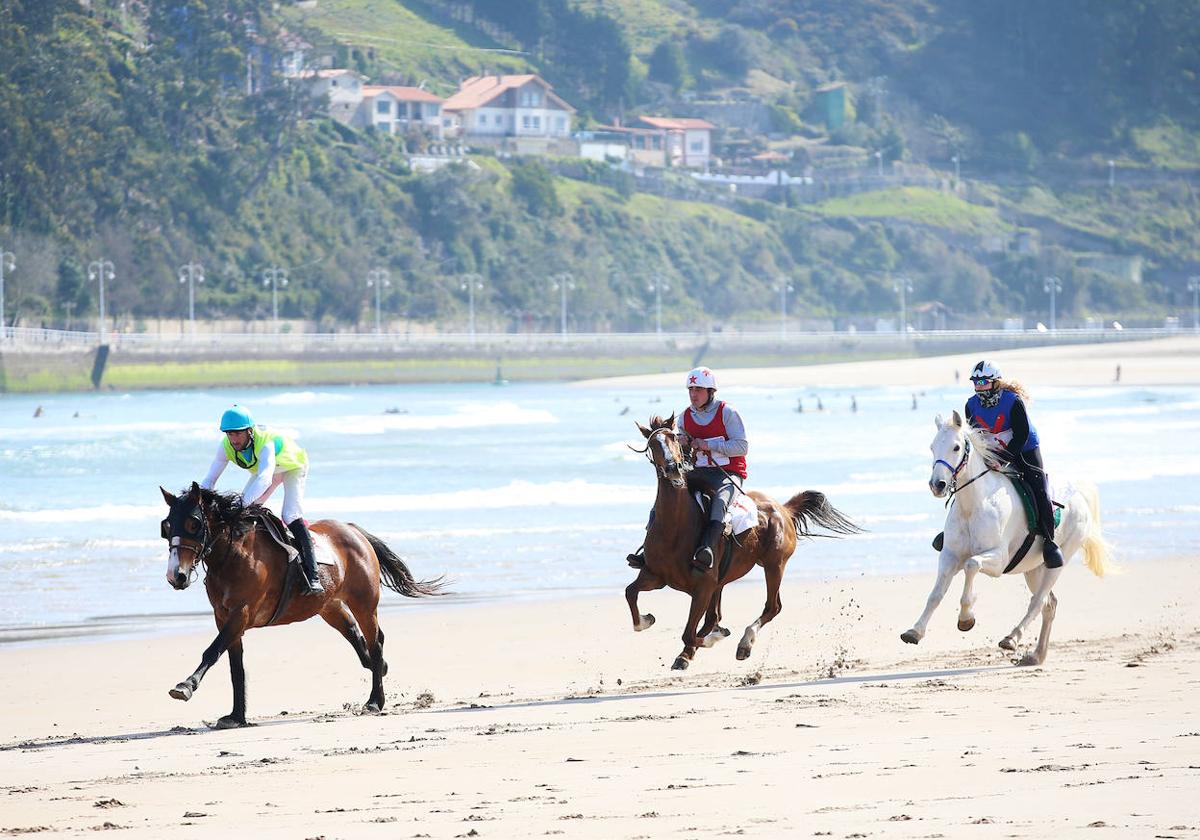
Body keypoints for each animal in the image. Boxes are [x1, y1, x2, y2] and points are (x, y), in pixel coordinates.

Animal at [157, 482, 444, 724]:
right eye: (167, 526)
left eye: (194, 523)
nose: (176, 576)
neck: (232, 555)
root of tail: (354, 531)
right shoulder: (223, 616)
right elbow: (235, 666)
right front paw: (236, 716)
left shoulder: (242, 613)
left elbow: (213, 651)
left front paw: (185, 686)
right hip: (329, 606)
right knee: (355, 634)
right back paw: (379, 669)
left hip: (364, 603)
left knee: (375, 643)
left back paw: (374, 702)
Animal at [628, 417, 864, 672]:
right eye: (653, 444)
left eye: (674, 438)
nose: (674, 469)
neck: (675, 528)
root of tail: (784, 509)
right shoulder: (656, 576)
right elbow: (631, 594)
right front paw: (647, 620)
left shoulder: (703, 587)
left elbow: (690, 633)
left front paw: (713, 639)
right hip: (725, 581)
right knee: (715, 616)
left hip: (774, 565)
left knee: (772, 607)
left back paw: (744, 643)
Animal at [902, 410, 1108, 667]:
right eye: (932, 447)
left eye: (956, 447)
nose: (937, 485)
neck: (973, 505)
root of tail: (1080, 497)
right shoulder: (950, 556)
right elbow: (935, 595)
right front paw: (914, 632)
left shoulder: (998, 559)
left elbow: (971, 565)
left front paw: (966, 618)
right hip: (1033, 569)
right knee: (1049, 604)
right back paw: (1036, 655)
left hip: (1057, 562)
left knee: (1038, 601)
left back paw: (1012, 638)